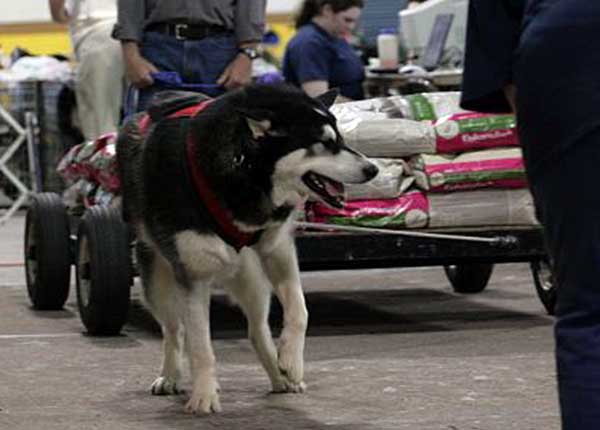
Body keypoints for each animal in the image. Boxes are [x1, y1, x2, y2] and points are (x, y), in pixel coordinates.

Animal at [116, 82, 378, 414]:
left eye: (340, 138)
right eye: (324, 143)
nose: (373, 169)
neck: (244, 171)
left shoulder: (277, 249)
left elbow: (299, 310)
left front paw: (290, 360)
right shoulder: (194, 274)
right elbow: (200, 345)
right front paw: (204, 395)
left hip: (250, 277)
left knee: (257, 329)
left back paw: (279, 375)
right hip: (158, 280)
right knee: (174, 330)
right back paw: (170, 376)